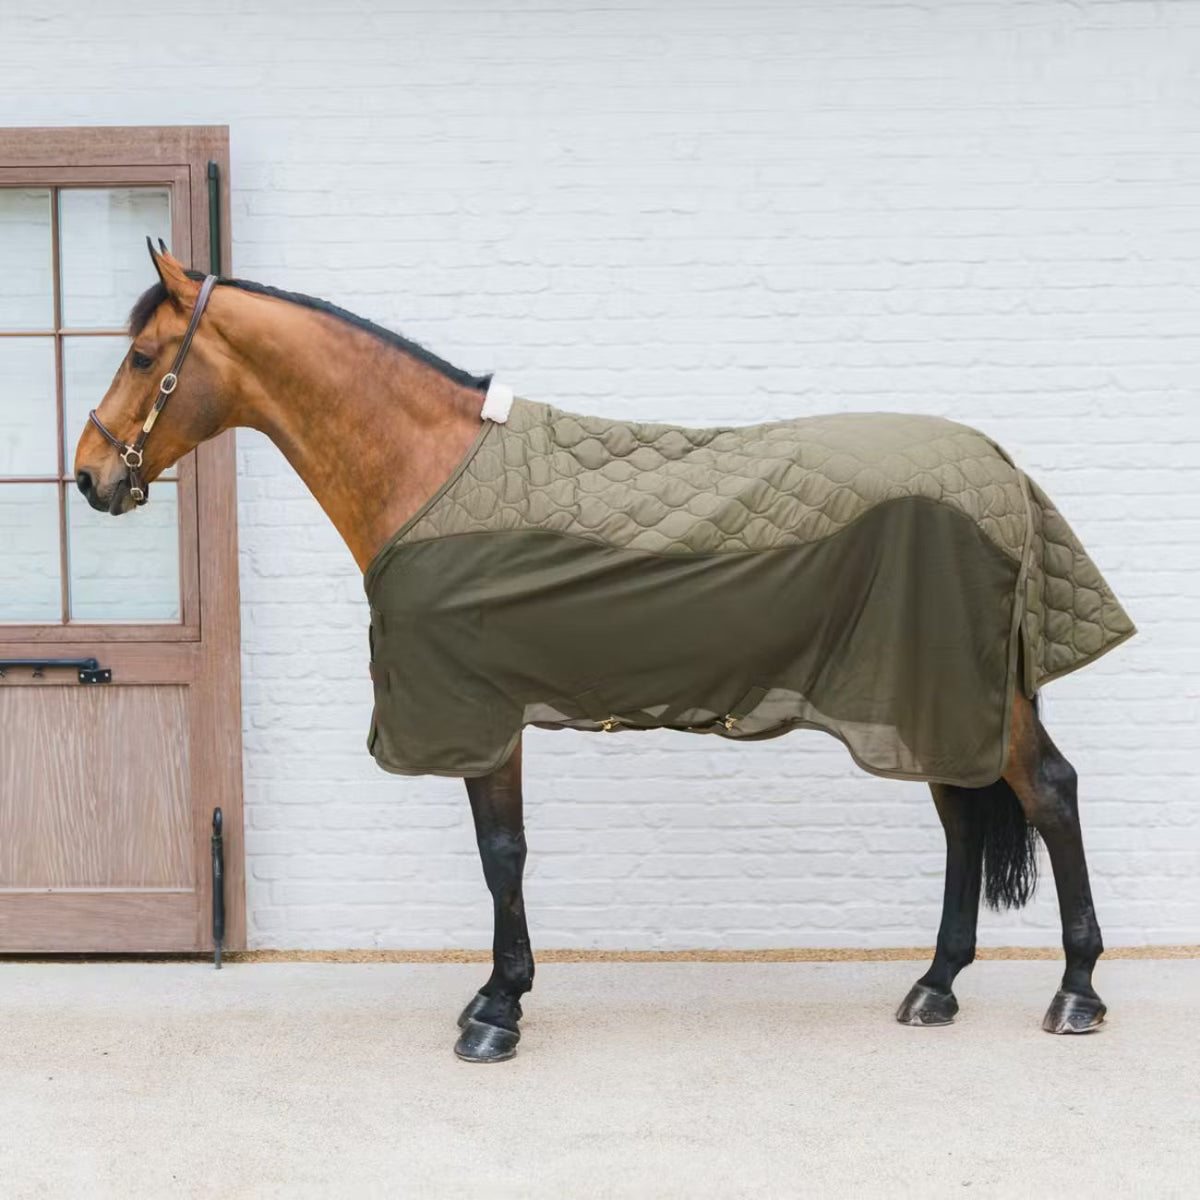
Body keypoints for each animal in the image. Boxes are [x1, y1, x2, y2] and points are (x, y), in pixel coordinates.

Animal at [74, 243, 1133, 1063]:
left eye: (140, 355)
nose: (87, 477)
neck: (429, 470)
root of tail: (998, 466)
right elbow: (500, 851)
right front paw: (492, 996)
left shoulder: (478, 711)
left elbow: (502, 853)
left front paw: (496, 1013)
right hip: (927, 691)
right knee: (962, 820)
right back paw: (936, 986)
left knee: (1049, 792)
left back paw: (1076, 994)